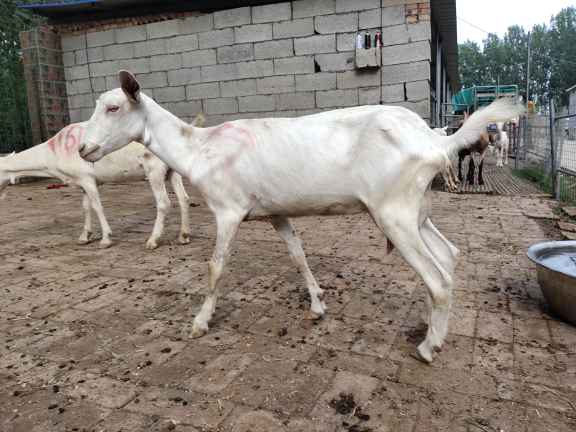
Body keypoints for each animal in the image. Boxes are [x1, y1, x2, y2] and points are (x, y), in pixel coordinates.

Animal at [0, 115, 202, 250]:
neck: (52, 154)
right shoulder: (83, 181)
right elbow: (86, 207)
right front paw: (85, 237)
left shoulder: (87, 178)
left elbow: (97, 206)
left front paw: (106, 239)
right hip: (172, 170)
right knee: (184, 198)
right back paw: (183, 236)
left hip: (155, 169)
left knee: (163, 203)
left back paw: (153, 240)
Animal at [76, 71, 520, 364]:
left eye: (114, 107)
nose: (83, 148)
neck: (200, 149)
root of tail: (434, 140)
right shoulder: (275, 212)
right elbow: (297, 255)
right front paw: (318, 305)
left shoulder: (228, 210)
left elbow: (215, 268)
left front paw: (200, 321)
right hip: (418, 211)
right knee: (449, 257)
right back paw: (432, 328)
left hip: (394, 212)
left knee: (437, 278)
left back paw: (429, 347)